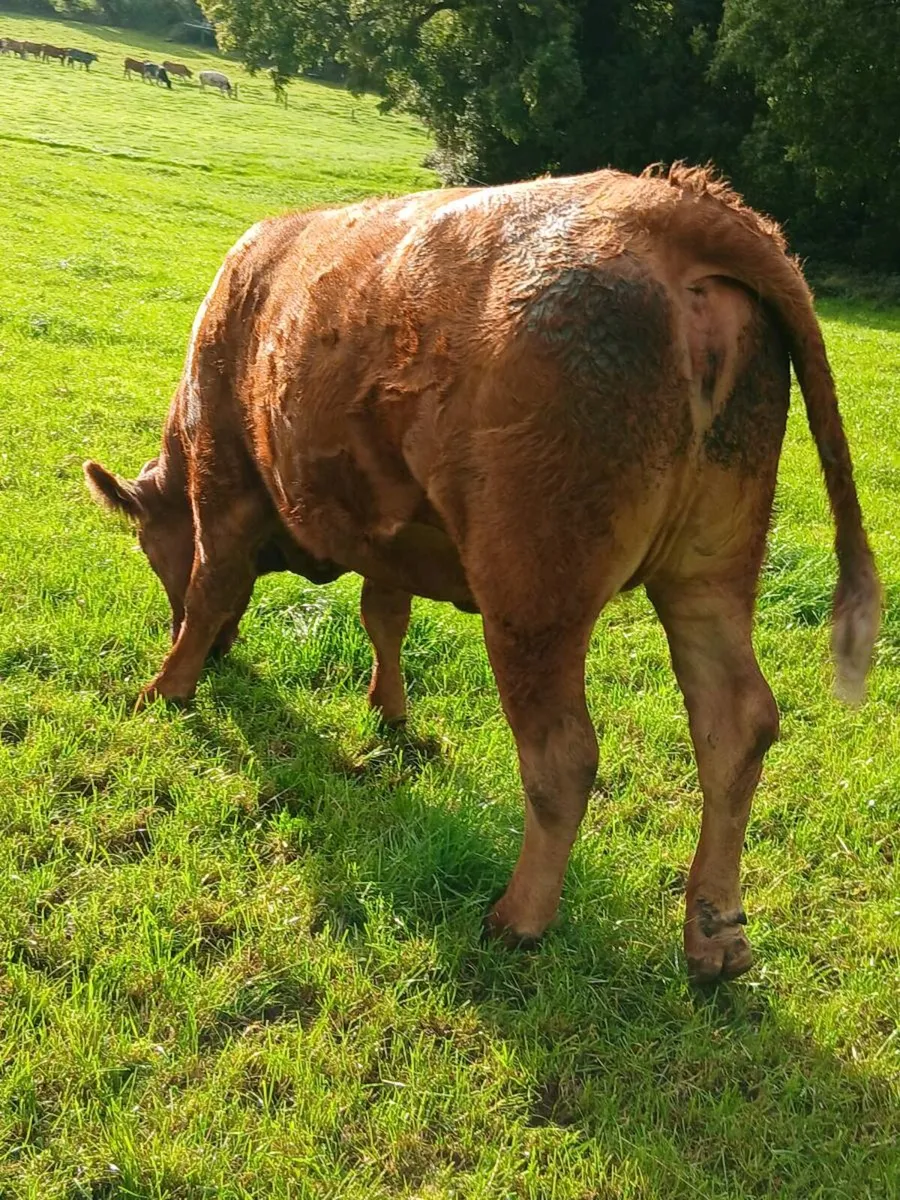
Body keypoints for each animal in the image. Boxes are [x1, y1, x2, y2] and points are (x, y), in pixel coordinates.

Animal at [84, 165, 880, 983]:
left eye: (150, 548)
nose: (217, 659)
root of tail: (676, 205)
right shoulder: (389, 537)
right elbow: (384, 614)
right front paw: (390, 713)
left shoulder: (224, 481)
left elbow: (211, 589)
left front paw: (167, 686)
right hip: (710, 567)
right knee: (735, 725)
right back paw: (715, 939)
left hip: (532, 587)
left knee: (564, 754)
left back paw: (518, 918)